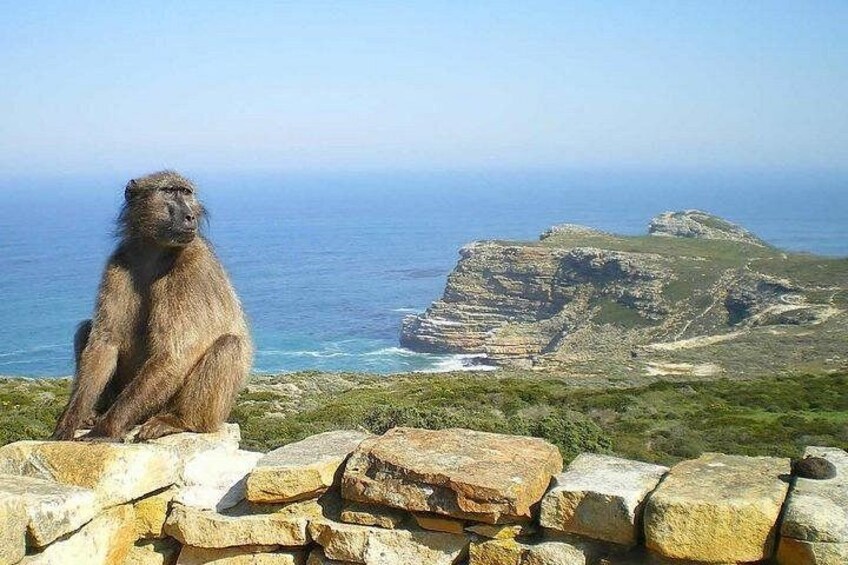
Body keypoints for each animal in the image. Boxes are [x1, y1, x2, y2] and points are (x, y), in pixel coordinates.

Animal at [51, 170, 252, 442]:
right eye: (169, 191)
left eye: (186, 193)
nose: (189, 216)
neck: (154, 252)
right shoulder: (119, 263)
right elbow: (105, 341)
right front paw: (68, 422)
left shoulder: (190, 267)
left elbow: (173, 353)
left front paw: (105, 430)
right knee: (86, 328)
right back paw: (93, 414)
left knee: (228, 344)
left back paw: (178, 421)